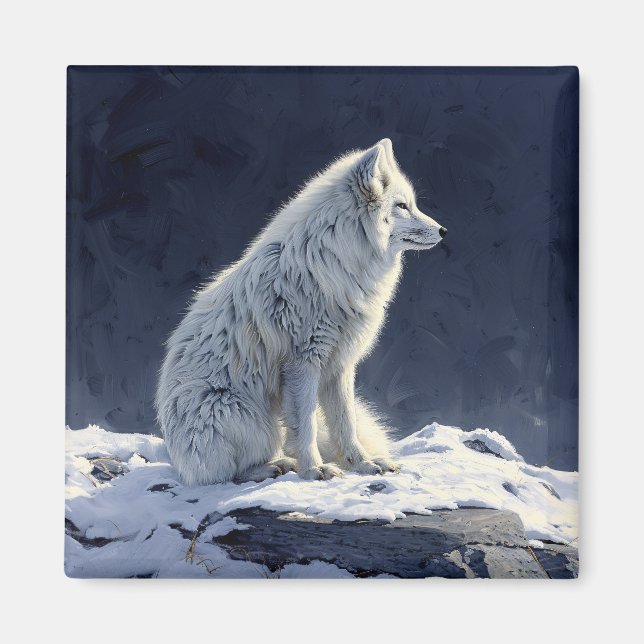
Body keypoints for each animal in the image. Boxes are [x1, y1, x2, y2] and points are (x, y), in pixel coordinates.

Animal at [155, 138, 447, 485]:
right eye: (402, 206)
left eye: (412, 204)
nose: (443, 231)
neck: (334, 263)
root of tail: (176, 459)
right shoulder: (302, 362)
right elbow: (306, 426)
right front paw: (314, 469)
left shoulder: (339, 365)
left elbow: (345, 423)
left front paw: (363, 463)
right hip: (241, 414)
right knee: (226, 475)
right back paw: (273, 467)